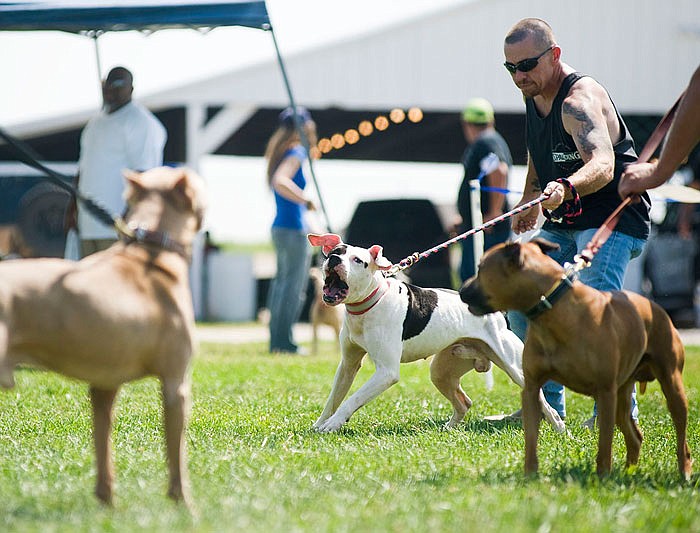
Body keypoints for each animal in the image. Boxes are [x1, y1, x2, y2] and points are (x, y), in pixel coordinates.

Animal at [0, 167, 205, 508]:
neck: (151, 247)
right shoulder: (176, 384)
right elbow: (177, 455)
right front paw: (184, 504)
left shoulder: (103, 387)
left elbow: (103, 446)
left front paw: (106, 501)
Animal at [306, 233, 564, 432]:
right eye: (335, 251)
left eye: (358, 260)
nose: (334, 259)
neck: (369, 302)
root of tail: (497, 314)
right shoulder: (348, 365)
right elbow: (334, 398)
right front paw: (320, 424)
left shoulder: (386, 372)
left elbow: (353, 399)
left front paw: (334, 423)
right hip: (442, 370)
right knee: (464, 402)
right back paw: (449, 429)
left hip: (514, 367)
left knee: (546, 405)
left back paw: (560, 429)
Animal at [456, 237, 692, 478]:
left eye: (481, 268)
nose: (462, 289)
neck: (551, 309)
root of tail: (655, 307)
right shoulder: (531, 389)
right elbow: (531, 439)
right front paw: (530, 475)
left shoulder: (605, 392)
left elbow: (605, 443)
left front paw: (602, 475)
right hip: (622, 392)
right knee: (635, 436)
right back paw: (629, 472)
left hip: (670, 384)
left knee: (680, 433)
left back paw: (683, 471)